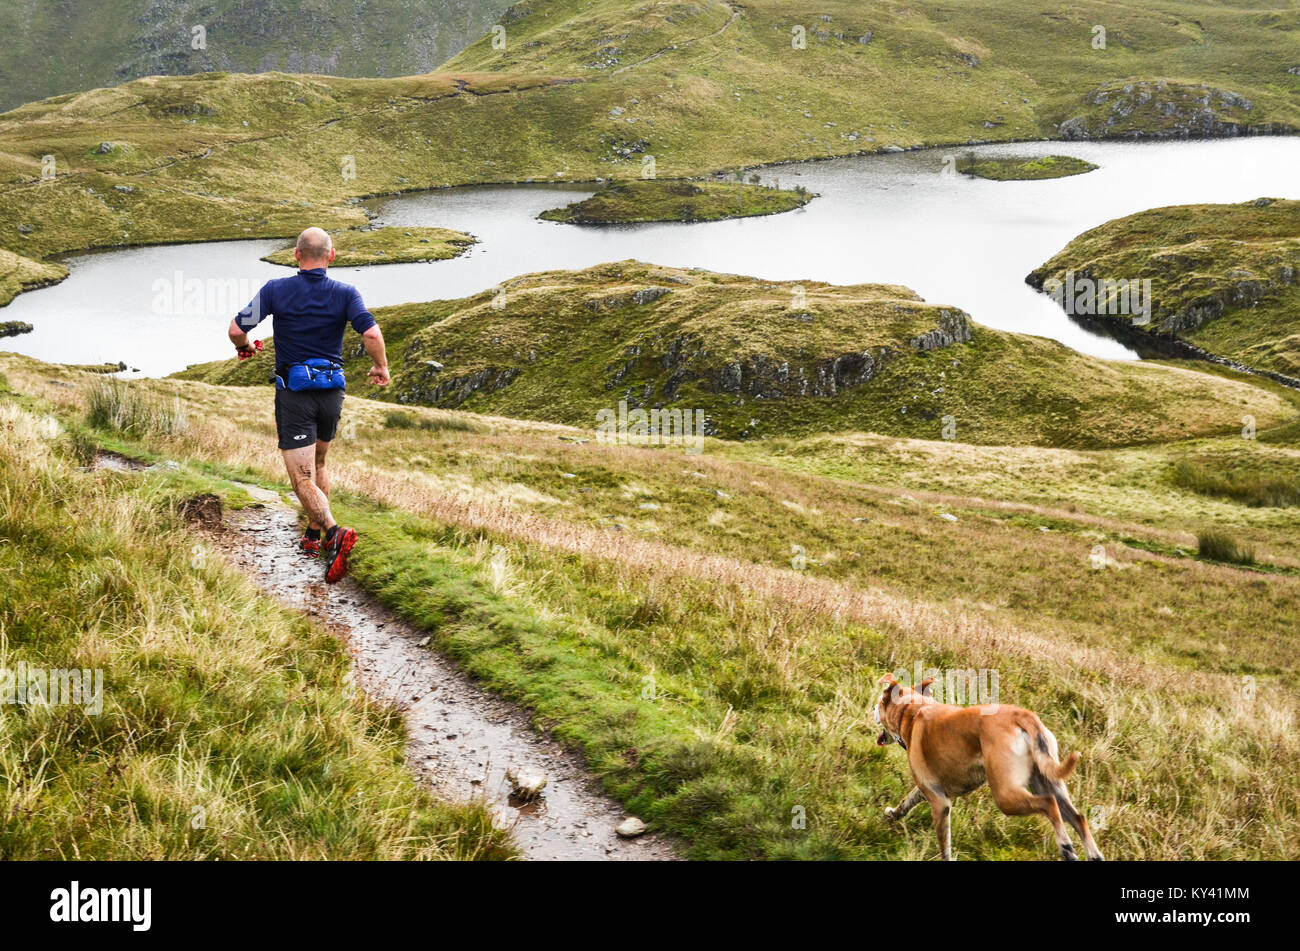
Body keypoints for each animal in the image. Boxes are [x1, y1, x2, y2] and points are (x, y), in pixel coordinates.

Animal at [878, 670, 1102, 857]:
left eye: (880, 701)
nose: (873, 707)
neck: (912, 710)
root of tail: (1023, 715)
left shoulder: (939, 802)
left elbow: (945, 847)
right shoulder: (928, 789)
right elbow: (907, 800)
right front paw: (893, 814)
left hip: (1005, 796)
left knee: (1049, 803)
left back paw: (1065, 846)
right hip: (1045, 780)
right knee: (1078, 818)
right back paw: (1094, 854)